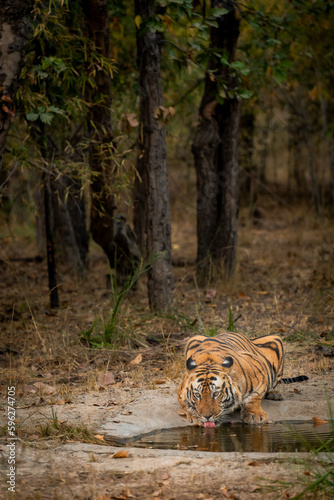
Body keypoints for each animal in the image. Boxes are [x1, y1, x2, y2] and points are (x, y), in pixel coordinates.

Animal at [177, 330, 308, 428]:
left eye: (216, 394)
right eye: (197, 395)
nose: (207, 416)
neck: (208, 361)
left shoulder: (260, 372)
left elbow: (254, 397)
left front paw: (255, 415)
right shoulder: (181, 392)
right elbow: (186, 406)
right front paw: (195, 417)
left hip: (276, 339)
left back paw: (275, 394)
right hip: (193, 338)